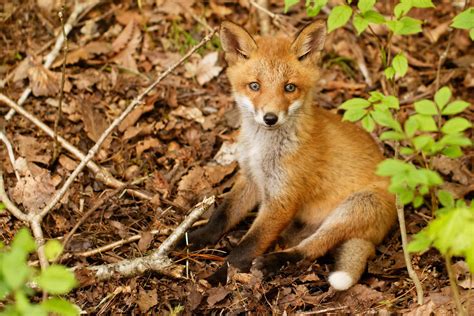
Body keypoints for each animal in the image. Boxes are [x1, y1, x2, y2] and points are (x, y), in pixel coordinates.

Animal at [185, 20, 396, 292]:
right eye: (255, 86)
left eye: (289, 87)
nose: (270, 118)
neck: (262, 149)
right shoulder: (251, 178)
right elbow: (221, 216)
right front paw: (195, 238)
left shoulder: (281, 200)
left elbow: (246, 248)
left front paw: (218, 277)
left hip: (356, 206)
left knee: (311, 249)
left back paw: (272, 262)